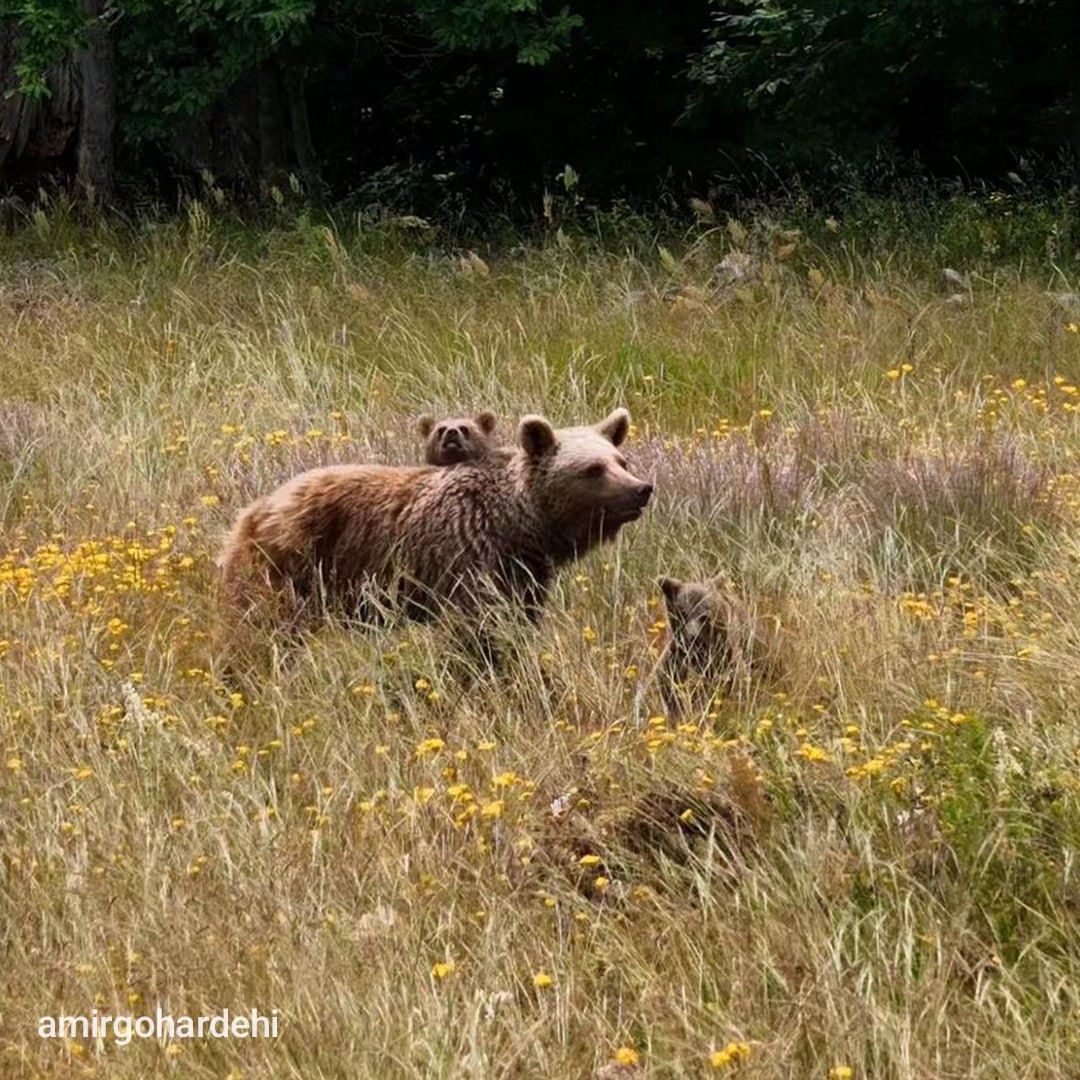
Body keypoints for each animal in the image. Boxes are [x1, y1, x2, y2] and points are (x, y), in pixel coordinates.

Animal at [213, 408, 643, 648]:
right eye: (593, 469)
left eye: (621, 460)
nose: (642, 489)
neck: (522, 526)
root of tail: (254, 508)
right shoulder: (470, 555)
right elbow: (477, 632)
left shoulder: (523, 574)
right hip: (290, 561)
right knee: (264, 624)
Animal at [652, 570, 781, 712]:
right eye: (683, 612)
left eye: (704, 616)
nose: (693, 636)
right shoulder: (678, 651)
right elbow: (669, 678)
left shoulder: (724, 649)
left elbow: (737, 676)